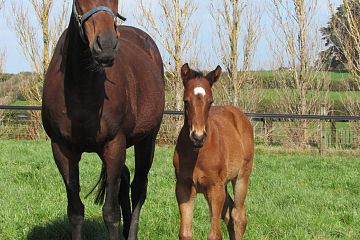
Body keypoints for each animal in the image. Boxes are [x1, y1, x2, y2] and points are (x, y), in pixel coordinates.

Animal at [174, 63, 253, 240]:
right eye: (186, 101)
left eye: (210, 101)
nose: (198, 137)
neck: (197, 155)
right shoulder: (183, 187)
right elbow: (185, 233)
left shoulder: (215, 189)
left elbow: (214, 235)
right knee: (229, 215)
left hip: (241, 177)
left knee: (238, 216)